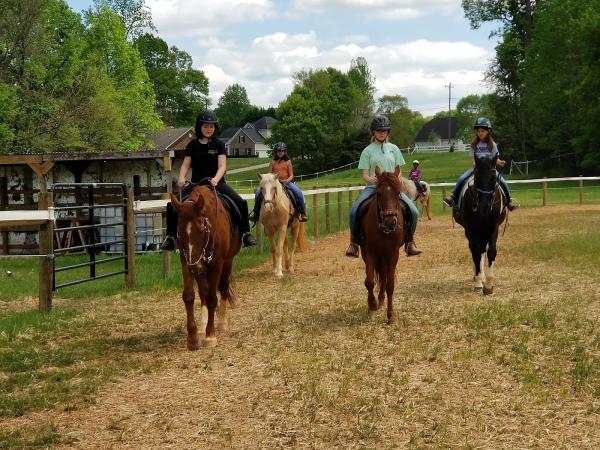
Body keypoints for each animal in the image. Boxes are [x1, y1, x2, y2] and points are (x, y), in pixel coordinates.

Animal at [169, 185, 241, 350]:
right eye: (179, 231)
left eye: (201, 229)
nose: (194, 267)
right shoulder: (186, 261)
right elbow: (189, 296)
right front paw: (193, 337)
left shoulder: (217, 263)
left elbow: (212, 298)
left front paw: (210, 336)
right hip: (200, 268)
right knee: (203, 292)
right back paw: (202, 327)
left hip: (226, 262)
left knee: (223, 288)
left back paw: (221, 323)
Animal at [358, 165, 406, 324]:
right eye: (378, 193)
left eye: (398, 192)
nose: (390, 221)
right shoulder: (370, 253)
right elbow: (369, 281)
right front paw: (372, 305)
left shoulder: (393, 254)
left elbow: (390, 284)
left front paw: (390, 316)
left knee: (384, 277)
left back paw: (381, 300)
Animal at [454, 158, 506, 296]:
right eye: (477, 176)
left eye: (493, 177)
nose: (484, 207)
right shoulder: (471, 230)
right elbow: (475, 254)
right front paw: (478, 283)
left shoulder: (493, 228)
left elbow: (491, 252)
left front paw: (488, 285)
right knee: (474, 250)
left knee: (482, 250)